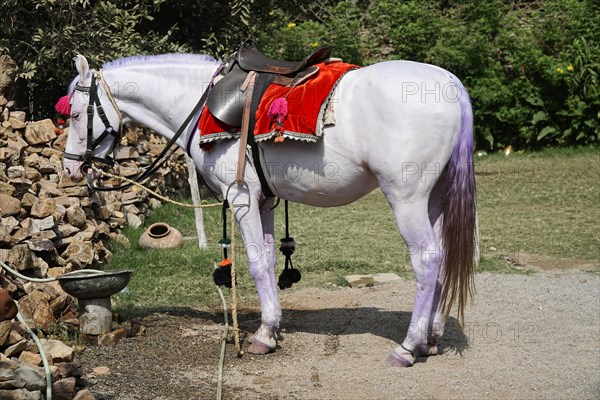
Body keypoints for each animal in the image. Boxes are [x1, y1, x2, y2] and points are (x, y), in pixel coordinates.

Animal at [63, 52, 476, 366]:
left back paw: (408, 346)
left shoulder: (242, 197)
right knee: (442, 258)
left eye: (75, 114)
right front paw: (272, 329)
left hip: (406, 198)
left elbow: (257, 264)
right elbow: (268, 258)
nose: (70, 168)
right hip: (434, 199)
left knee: (427, 259)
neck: (199, 104)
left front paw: (262, 335)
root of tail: (449, 84)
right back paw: (431, 337)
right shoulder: (265, 201)